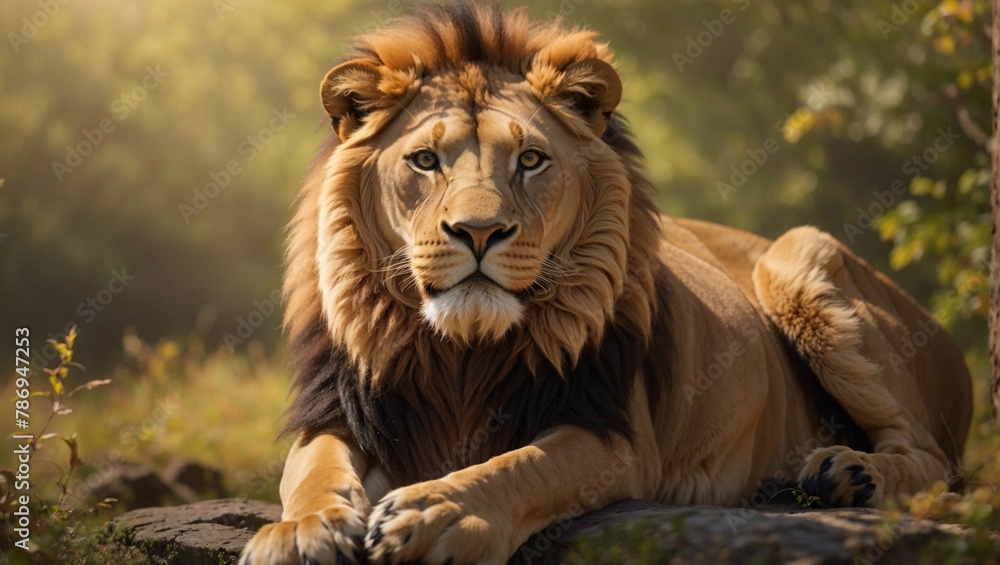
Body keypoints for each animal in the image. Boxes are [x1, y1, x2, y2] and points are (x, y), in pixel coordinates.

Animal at [240, 3, 973, 564]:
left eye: (530, 160)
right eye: (424, 160)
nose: (478, 231)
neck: (463, 349)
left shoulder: (616, 432)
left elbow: (521, 466)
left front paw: (437, 511)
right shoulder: (343, 411)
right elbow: (313, 469)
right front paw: (299, 531)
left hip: (795, 255)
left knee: (934, 460)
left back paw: (848, 473)